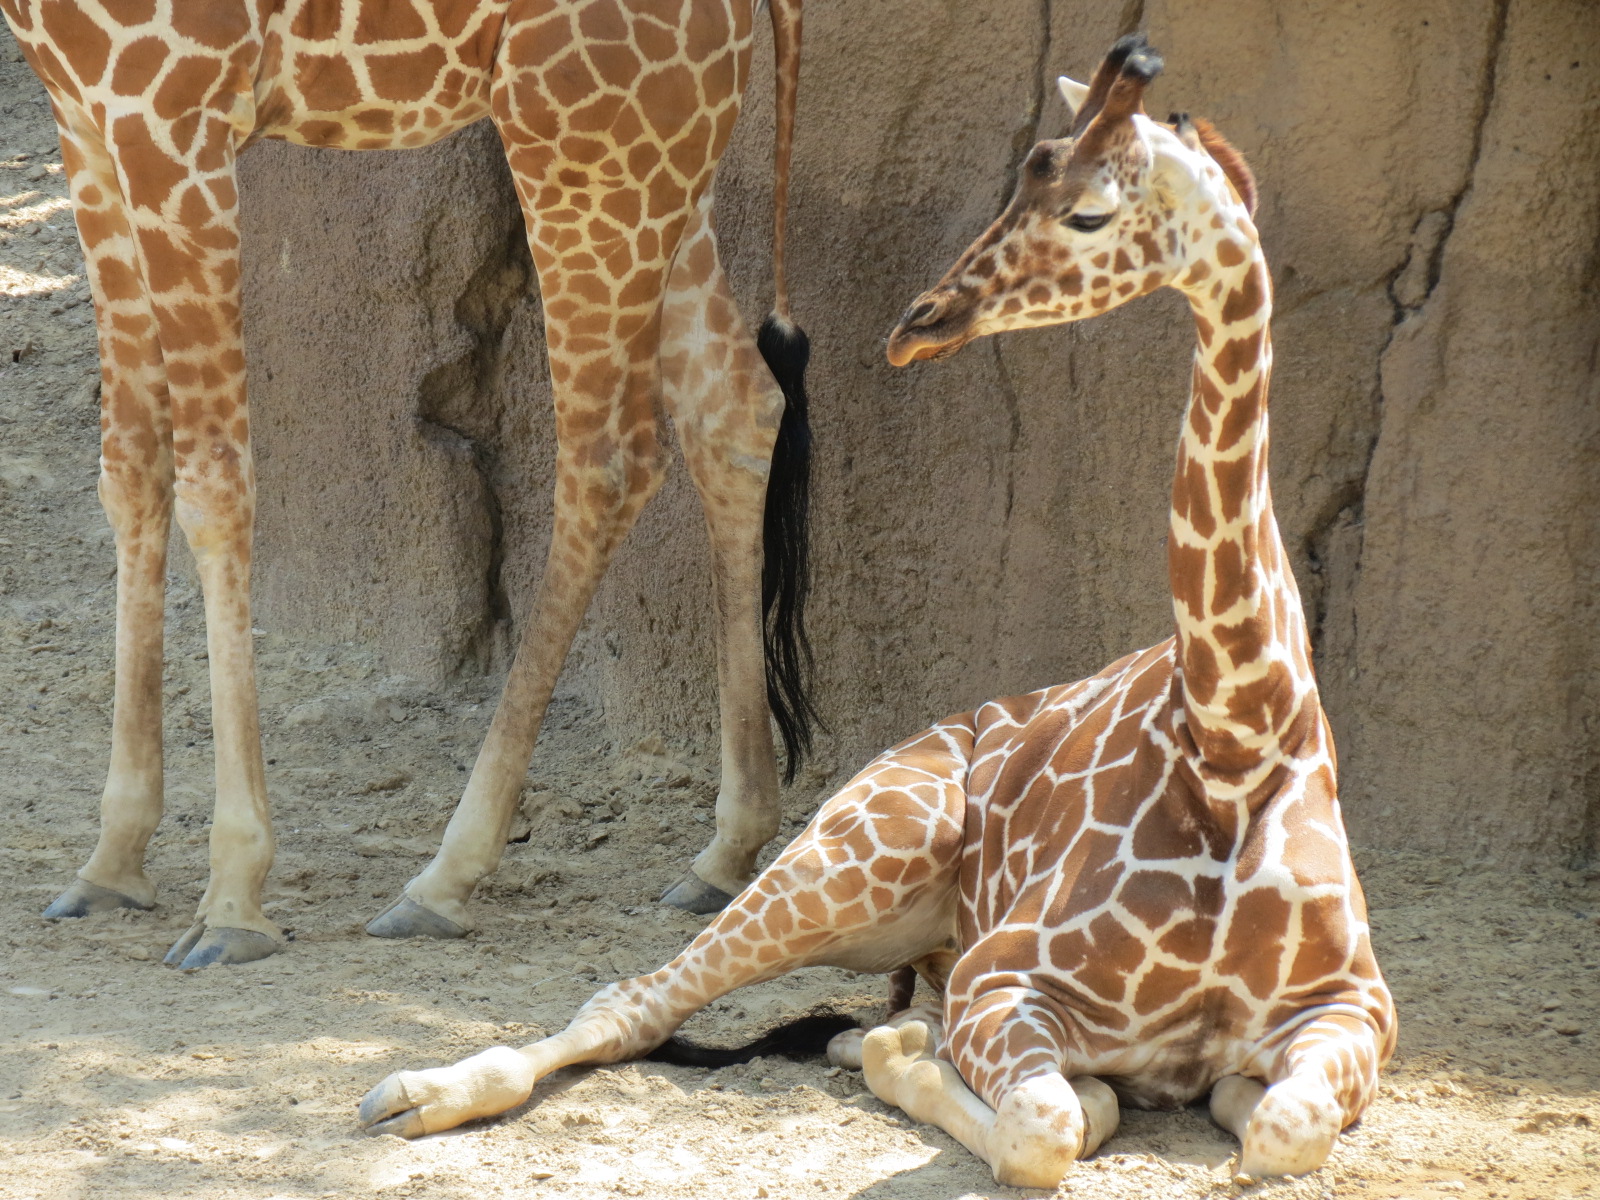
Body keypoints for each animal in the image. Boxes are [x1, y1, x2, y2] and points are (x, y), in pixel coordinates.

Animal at [1, 0, 820, 969]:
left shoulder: (177, 110)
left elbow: (216, 482)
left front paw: (234, 897)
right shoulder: (88, 122)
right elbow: (130, 468)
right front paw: (110, 863)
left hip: (579, 136)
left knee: (611, 455)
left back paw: (444, 877)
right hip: (663, 152)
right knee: (734, 409)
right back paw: (727, 853)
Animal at [354, 35, 1396, 1186]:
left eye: (1087, 212)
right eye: (1023, 178)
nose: (916, 323)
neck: (1236, 743)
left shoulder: (1352, 1012)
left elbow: (1275, 1123)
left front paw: (1216, 1092)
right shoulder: (1004, 980)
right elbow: (1048, 1129)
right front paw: (917, 1061)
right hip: (856, 855)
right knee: (630, 1000)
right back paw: (410, 1090)